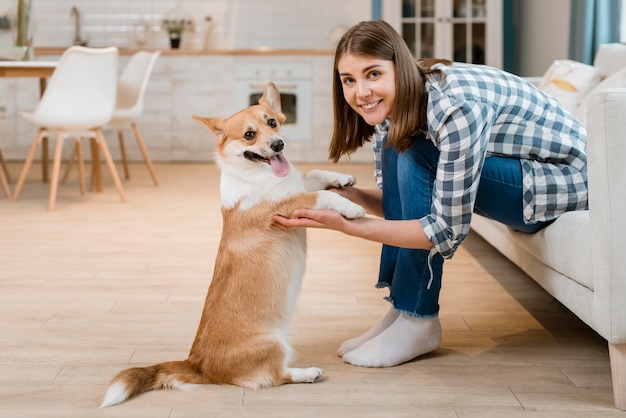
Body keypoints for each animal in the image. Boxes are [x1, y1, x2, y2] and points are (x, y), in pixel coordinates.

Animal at [99, 80, 364, 406]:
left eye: (272, 122)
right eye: (249, 135)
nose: (279, 145)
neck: (260, 176)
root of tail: (198, 364)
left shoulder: (298, 183)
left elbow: (314, 174)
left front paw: (342, 178)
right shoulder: (288, 205)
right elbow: (319, 195)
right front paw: (350, 207)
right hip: (275, 344)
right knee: (276, 376)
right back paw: (309, 373)